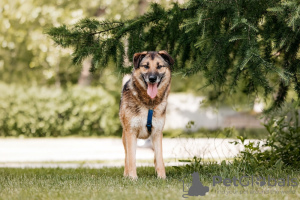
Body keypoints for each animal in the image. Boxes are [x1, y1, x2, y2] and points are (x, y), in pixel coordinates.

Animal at [119, 50, 175, 179]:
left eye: (159, 66)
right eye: (145, 66)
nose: (152, 78)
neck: (149, 103)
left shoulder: (157, 133)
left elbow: (159, 159)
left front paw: (162, 177)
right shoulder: (131, 133)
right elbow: (131, 159)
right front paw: (132, 178)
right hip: (125, 137)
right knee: (126, 157)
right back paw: (126, 174)